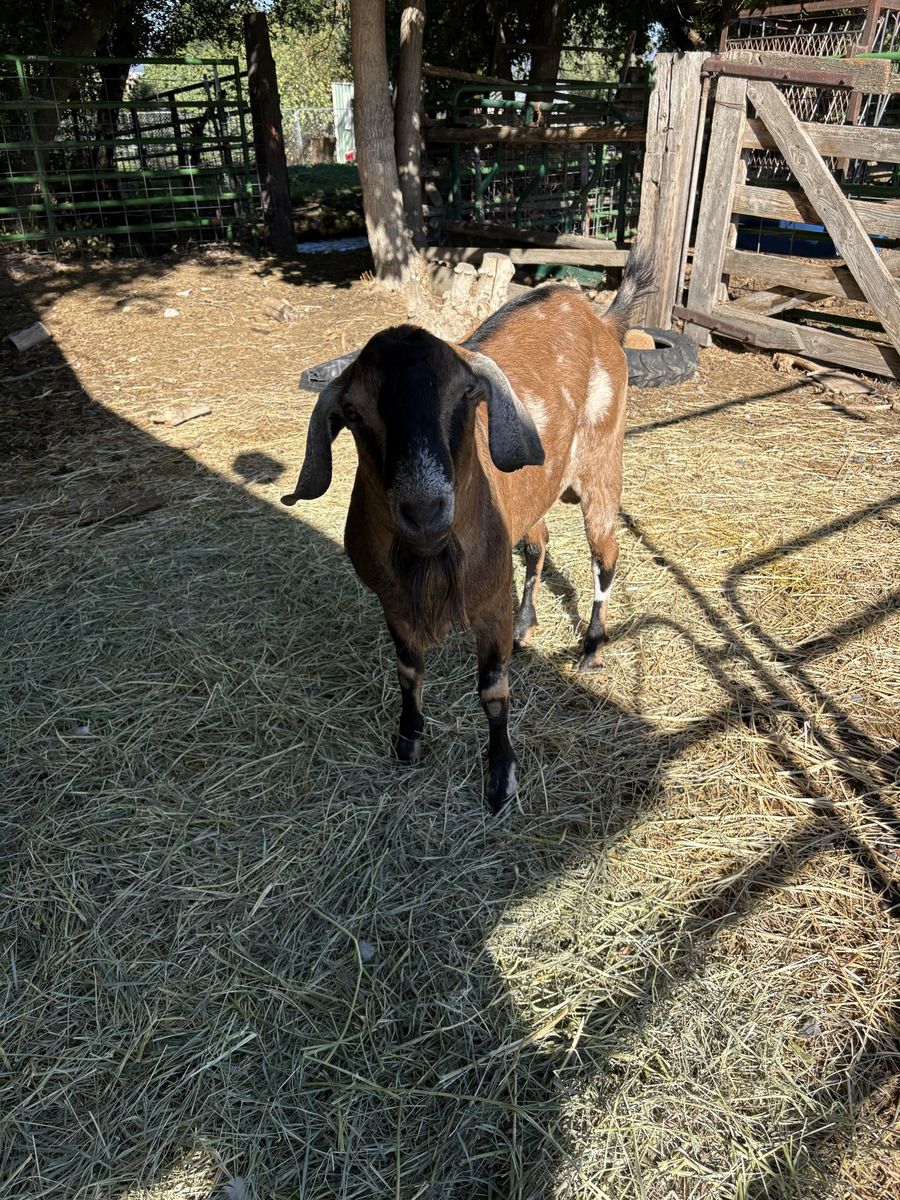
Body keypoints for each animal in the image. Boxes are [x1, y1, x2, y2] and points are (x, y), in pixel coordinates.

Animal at [282, 251, 653, 812]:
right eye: (354, 414)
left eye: (465, 396)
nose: (425, 510)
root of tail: (604, 322)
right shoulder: (393, 601)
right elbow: (408, 672)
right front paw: (408, 741)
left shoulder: (488, 603)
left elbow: (493, 691)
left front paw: (501, 777)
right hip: (531, 501)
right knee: (539, 546)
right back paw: (527, 626)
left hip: (603, 472)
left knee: (605, 557)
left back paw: (591, 649)